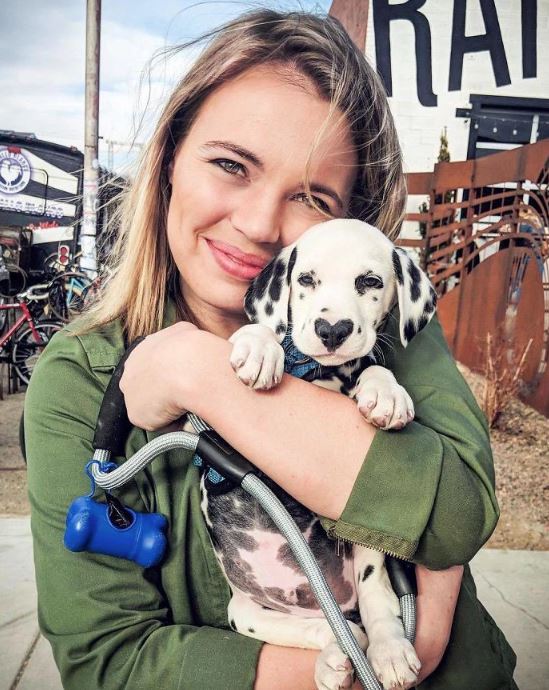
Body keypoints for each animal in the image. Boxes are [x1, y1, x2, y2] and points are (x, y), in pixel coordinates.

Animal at [199, 219, 434, 688]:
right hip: (245, 611)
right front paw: (259, 345)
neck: (319, 372)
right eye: (306, 279)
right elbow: (265, 331)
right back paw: (334, 657)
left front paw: (386, 393)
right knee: (328, 630)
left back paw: (388, 650)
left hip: (366, 559)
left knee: (374, 609)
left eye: (370, 281)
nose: (332, 330)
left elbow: (373, 367)